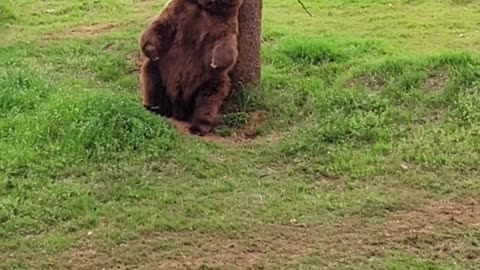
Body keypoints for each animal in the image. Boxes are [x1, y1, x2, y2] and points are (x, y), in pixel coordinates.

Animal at [139, 0, 244, 136]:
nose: (214, 64)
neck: (204, 7)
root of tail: (178, 109)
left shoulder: (224, 19)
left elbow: (225, 40)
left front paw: (215, 62)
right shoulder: (180, 9)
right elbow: (162, 24)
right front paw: (152, 50)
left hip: (208, 80)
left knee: (209, 97)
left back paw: (199, 126)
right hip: (162, 70)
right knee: (152, 78)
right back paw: (153, 108)